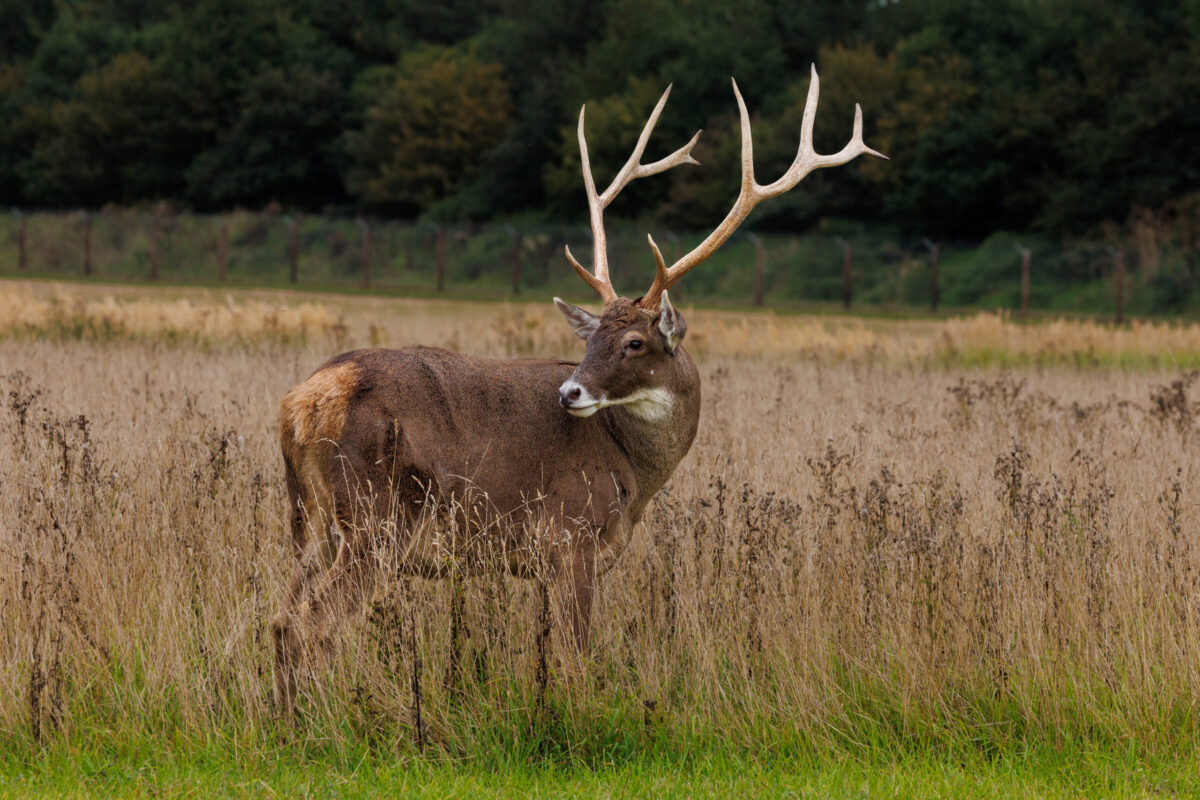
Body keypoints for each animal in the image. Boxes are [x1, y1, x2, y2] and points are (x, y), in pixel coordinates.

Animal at [274, 65, 892, 710]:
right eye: (592, 335)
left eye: (634, 343)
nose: (570, 393)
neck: (635, 474)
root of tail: (303, 404)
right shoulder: (571, 534)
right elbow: (575, 655)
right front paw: (575, 712)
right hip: (376, 519)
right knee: (312, 623)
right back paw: (319, 718)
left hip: (309, 522)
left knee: (280, 617)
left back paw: (286, 718)